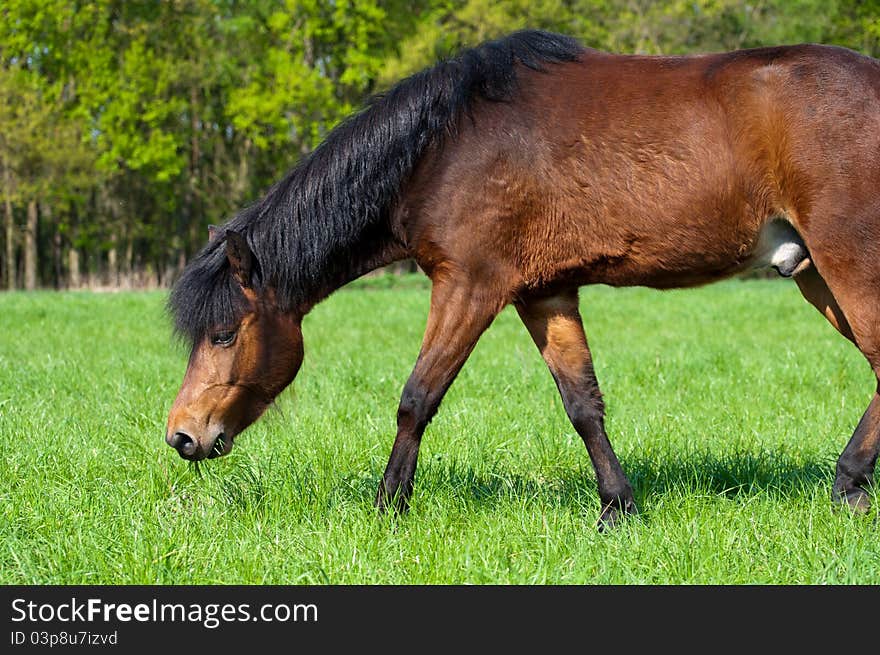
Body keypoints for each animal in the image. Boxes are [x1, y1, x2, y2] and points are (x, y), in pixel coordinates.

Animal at [165, 29, 880, 528]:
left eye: (223, 334)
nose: (181, 435)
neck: (441, 145)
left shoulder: (470, 286)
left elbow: (417, 397)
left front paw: (388, 506)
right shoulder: (544, 293)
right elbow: (583, 404)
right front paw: (618, 509)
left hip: (848, 261)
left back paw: (848, 484)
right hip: (814, 274)